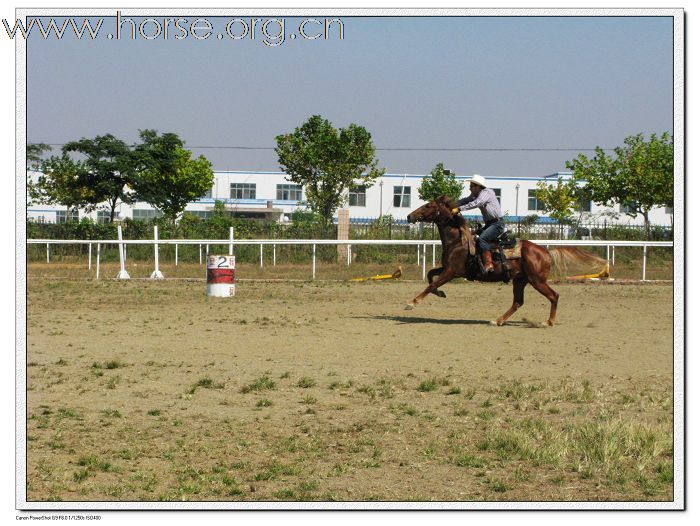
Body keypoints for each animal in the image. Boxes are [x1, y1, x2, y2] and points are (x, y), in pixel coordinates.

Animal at [404, 194, 608, 326]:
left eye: (428, 205)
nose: (409, 216)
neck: (458, 240)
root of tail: (545, 251)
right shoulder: (447, 268)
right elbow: (430, 275)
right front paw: (440, 293)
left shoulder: (452, 271)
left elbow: (431, 283)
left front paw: (411, 303)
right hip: (520, 280)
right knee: (518, 302)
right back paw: (498, 320)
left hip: (536, 280)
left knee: (553, 296)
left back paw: (548, 322)